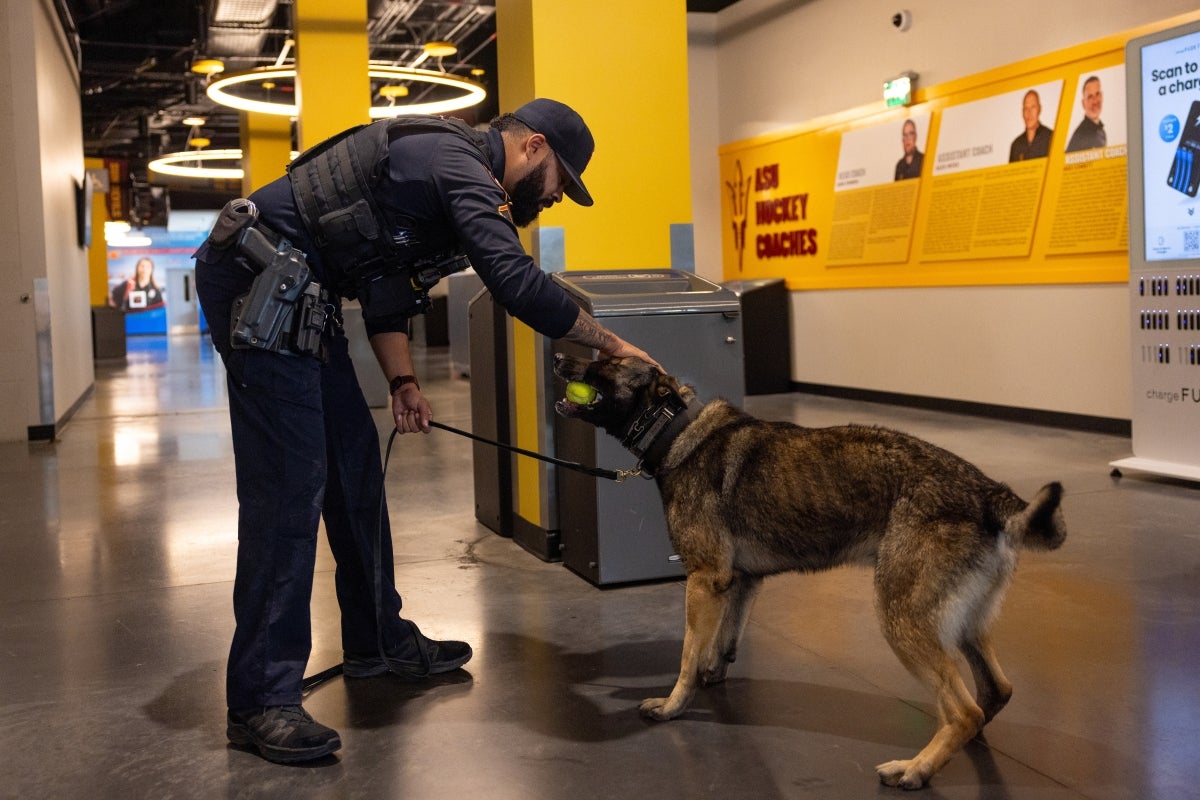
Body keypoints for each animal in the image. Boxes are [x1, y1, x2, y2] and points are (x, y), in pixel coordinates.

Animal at [552, 355, 1070, 786]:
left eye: (603, 363)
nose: (556, 357)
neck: (675, 428)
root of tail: (988, 492)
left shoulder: (703, 580)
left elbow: (686, 654)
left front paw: (675, 704)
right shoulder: (739, 582)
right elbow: (721, 642)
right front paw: (711, 674)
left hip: (902, 619)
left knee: (964, 711)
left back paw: (916, 769)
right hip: (962, 624)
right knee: (994, 693)